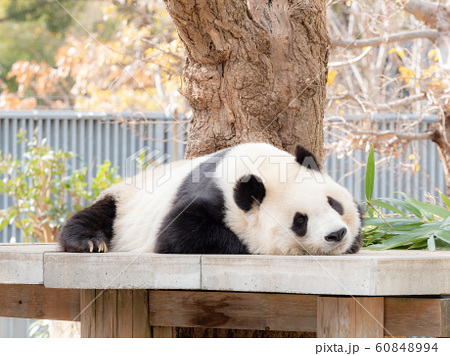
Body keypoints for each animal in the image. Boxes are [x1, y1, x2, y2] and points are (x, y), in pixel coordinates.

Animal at [59, 143, 362, 256]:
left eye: (333, 203)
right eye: (300, 221)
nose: (336, 234)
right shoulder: (212, 196)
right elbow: (176, 233)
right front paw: (245, 245)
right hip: (122, 199)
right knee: (93, 215)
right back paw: (90, 241)